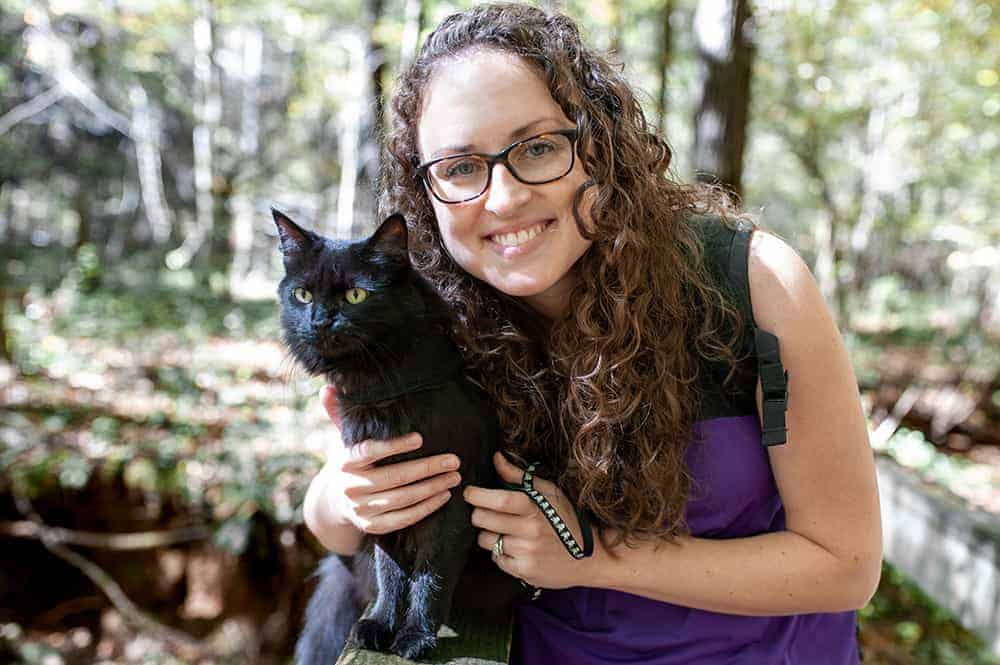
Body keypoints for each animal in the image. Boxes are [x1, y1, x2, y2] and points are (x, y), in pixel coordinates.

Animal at [276, 211, 520, 660]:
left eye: (355, 295)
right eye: (302, 294)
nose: (319, 321)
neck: (386, 390)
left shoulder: (453, 502)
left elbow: (430, 576)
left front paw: (416, 635)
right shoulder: (382, 499)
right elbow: (389, 572)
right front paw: (380, 625)